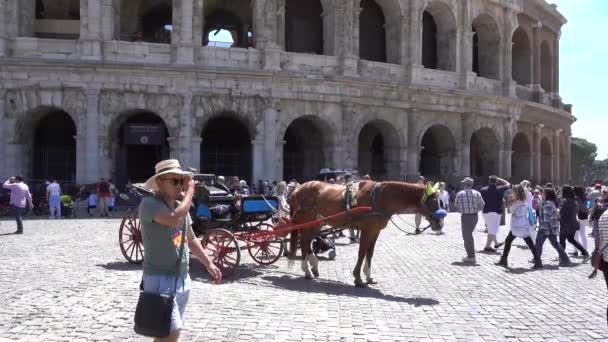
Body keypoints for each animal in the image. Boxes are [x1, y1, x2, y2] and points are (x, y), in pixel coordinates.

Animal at [288, 180, 444, 288]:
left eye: (441, 202)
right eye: (433, 202)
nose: (440, 224)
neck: (380, 198)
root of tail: (297, 190)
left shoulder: (374, 231)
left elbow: (370, 253)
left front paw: (368, 276)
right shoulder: (366, 230)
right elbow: (362, 253)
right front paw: (358, 279)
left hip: (315, 223)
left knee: (306, 242)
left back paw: (312, 267)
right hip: (307, 221)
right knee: (304, 242)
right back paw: (308, 269)